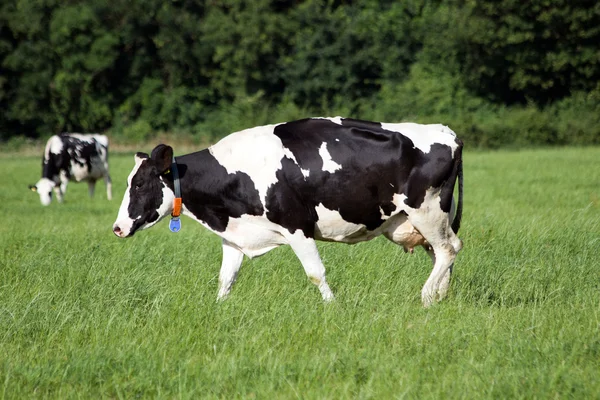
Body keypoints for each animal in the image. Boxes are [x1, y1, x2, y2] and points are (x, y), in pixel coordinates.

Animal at [112, 116, 464, 306]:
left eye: (140, 184)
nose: (117, 227)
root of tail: (446, 132)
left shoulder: (297, 226)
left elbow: (315, 272)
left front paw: (333, 308)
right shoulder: (235, 233)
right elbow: (226, 277)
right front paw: (218, 309)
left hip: (427, 211)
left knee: (449, 249)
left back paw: (426, 296)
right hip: (420, 219)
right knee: (441, 254)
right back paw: (441, 297)